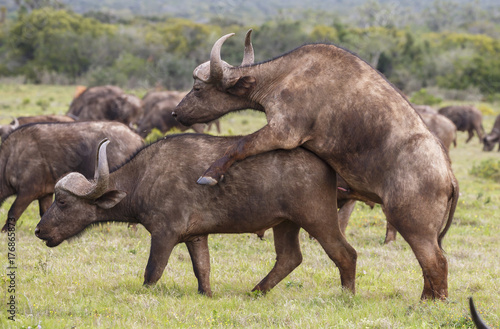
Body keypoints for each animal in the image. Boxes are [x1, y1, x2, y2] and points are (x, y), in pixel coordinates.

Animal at [0, 121, 145, 232]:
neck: (11, 157)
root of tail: (136, 137)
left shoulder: (28, 191)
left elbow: (13, 212)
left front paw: (5, 232)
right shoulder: (45, 194)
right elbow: (44, 212)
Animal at [35, 136, 356, 298]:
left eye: (62, 201)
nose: (39, 230)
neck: (143, 178)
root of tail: (326, 162)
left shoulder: (164, 234)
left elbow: (152, 272)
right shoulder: (196, 236)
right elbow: (202, 269)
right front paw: (207, 294)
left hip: (318, 218)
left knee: (345, 253)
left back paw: (347, 294)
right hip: (285, 224)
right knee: (290, 257)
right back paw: (256, 290)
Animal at [174, 29, 458, 298]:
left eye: (198, 89)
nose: (176, 112)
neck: (285, 76)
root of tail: (449, 176)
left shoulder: (283, 132)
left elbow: (240, 144)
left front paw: (211, 173)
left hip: (411, 224)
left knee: (436, 262)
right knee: (429, 266)